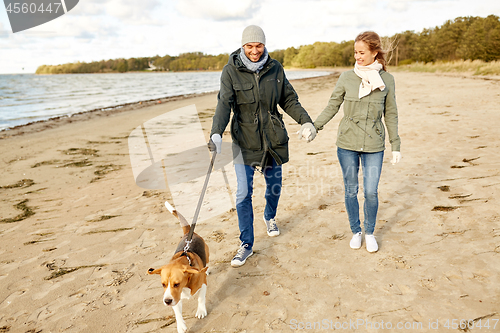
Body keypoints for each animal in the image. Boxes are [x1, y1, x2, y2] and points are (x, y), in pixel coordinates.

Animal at [148, 201, 211, 332]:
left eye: (177, 284)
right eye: (163, 284)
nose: (167, 301)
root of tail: (189, 233)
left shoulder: (203, 285)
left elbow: (201, 298)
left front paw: (201, 311)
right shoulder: (175, 297)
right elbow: (177, 313)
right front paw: (181, 326)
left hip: (207, 255)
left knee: (208, 262)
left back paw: (208, 269)